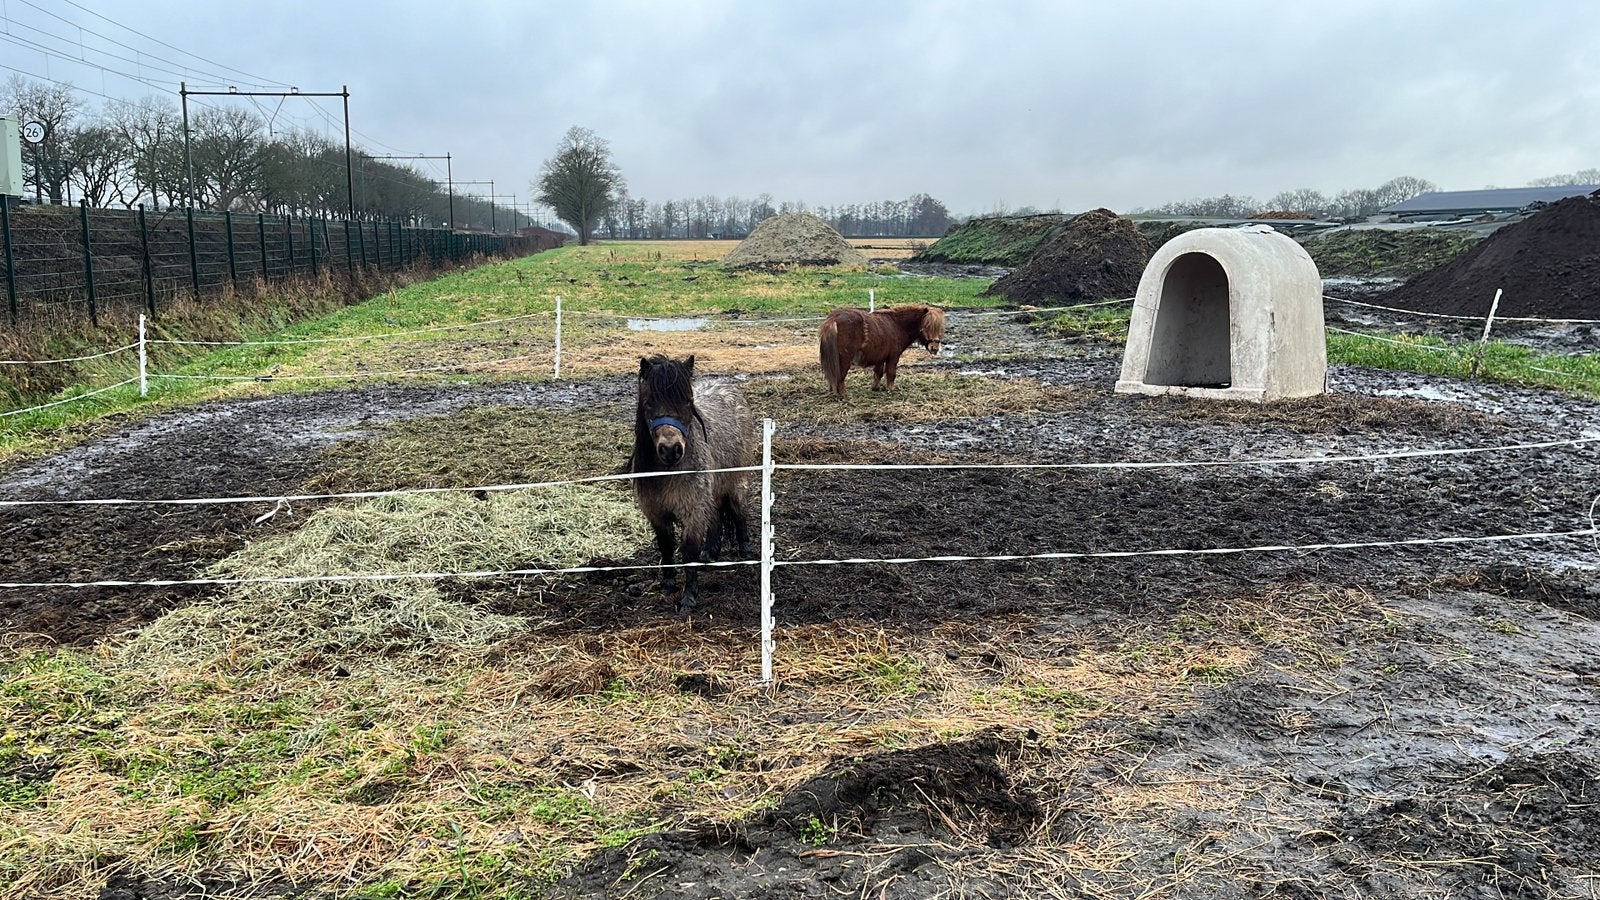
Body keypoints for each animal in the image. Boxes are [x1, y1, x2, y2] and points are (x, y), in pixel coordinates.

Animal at [630, 354, 755, 612]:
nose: (671, 450)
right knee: (716, 516)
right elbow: (666, 545)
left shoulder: (692, 511)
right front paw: (668, 584)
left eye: (688, 402)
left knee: (738, 512)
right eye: (649, 403)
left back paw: (745, 550)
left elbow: (689, 551)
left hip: (736, 483)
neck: (667, 472)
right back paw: (710, 552)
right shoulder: (656, 513)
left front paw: (689, 597)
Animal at [818, 304, 946, 397]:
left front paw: (875, 388)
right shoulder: (893, 357)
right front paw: (891, 389)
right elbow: (891, 373)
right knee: (840, 375)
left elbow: (878, 373)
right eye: (926, 326)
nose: (935, 348)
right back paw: (843, 394)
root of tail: (833, 318)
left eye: (938, 328)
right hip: (845, 358)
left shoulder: (880, 357)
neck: (896, 325)